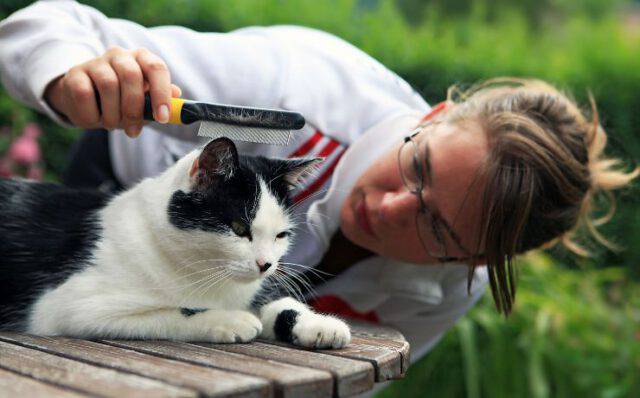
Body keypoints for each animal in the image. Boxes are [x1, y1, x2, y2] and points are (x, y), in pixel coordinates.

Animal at [0, 137, 350, 348]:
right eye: (239, 228)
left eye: (281, 235)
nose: (265, 265)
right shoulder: (68, 306)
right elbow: (173, 312)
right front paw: (229, 319)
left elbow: (282, 304)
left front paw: (318, 324)